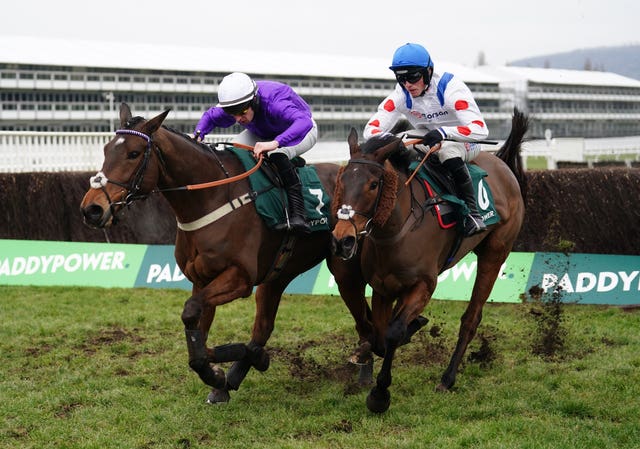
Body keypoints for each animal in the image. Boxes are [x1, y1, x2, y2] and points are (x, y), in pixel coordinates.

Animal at [80, 104, 372, 402]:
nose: (92, 209)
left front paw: (223, 370)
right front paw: (222, 374)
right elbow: (198, 333)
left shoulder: (239, 278)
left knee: (364, 320)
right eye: (106, 149)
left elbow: (191, 314)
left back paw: (364, 372)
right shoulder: (202, 280)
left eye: (134, 153)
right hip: (278, 273)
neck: (211, 199)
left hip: (344, 270)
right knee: (264, 326)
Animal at [330, 108, 528, 412]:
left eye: (373, 184)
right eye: (341, 180)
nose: (343, 240)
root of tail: (502, 164)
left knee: (471, 318)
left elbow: (393, 333)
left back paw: (447, 378)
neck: (397, 230)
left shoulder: (424, 285)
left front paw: (380, 394)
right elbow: (380, 336)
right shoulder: (383, 288)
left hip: (495, 253)